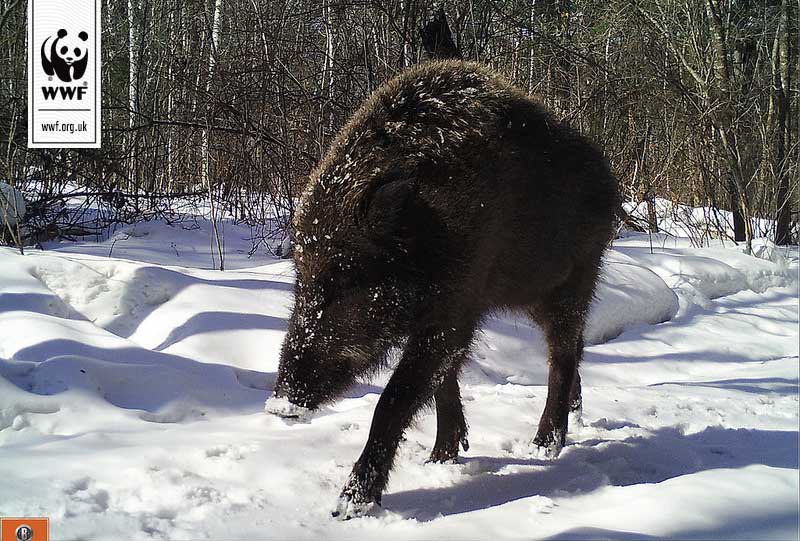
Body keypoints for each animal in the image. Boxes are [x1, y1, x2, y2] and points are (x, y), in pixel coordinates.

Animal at [266, 59, 620, 519]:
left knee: (563, 353)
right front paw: (441, 458)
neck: (428, 233)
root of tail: (610, 181)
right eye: (301, 278)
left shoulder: (456, 307)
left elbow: (396, 397)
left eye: (348, 278)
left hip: (574, 279)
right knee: (572, 350)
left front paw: (349, 507)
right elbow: (442, 380)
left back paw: (544, 447)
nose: (279, 404)